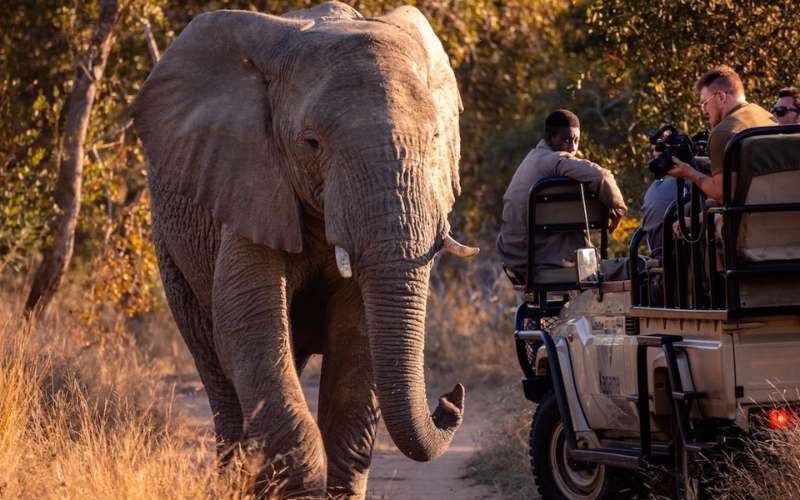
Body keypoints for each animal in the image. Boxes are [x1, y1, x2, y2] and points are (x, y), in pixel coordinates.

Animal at [131, 2, 478, 498]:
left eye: (434, 139)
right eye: (311, 143)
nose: (451, 398)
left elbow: (358, 339)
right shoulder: (248, 183)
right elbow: (248, 328)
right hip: (171, 247)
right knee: (215, 362)